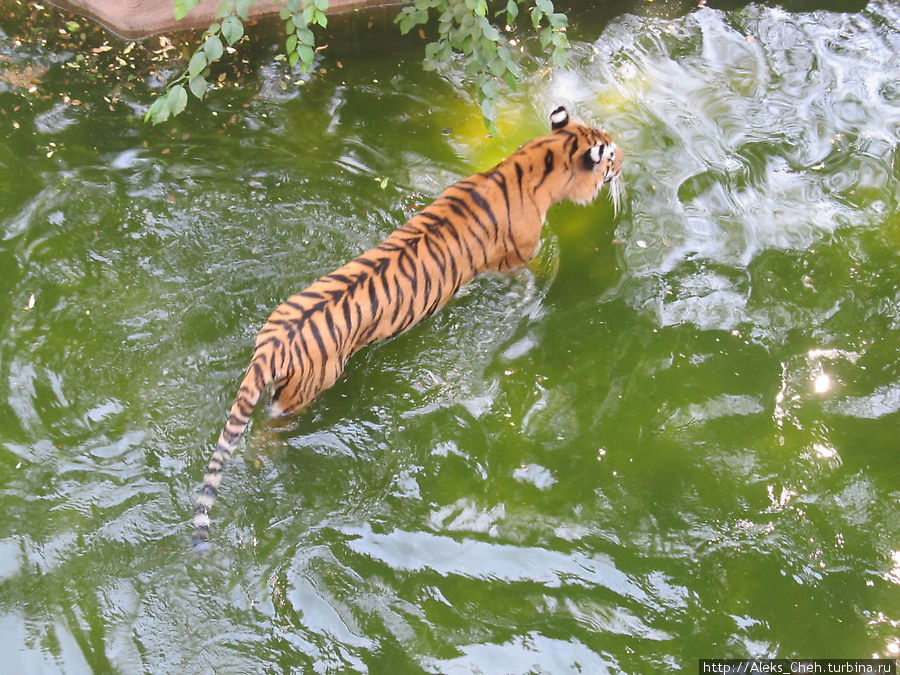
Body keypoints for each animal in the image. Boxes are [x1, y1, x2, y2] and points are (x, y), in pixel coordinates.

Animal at [192, 107, 624, 548]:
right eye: (610, 156)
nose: (623, 162)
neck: (531, 163)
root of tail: (273, 344)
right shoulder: (518, 261)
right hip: (304, 392)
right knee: (266, 431)